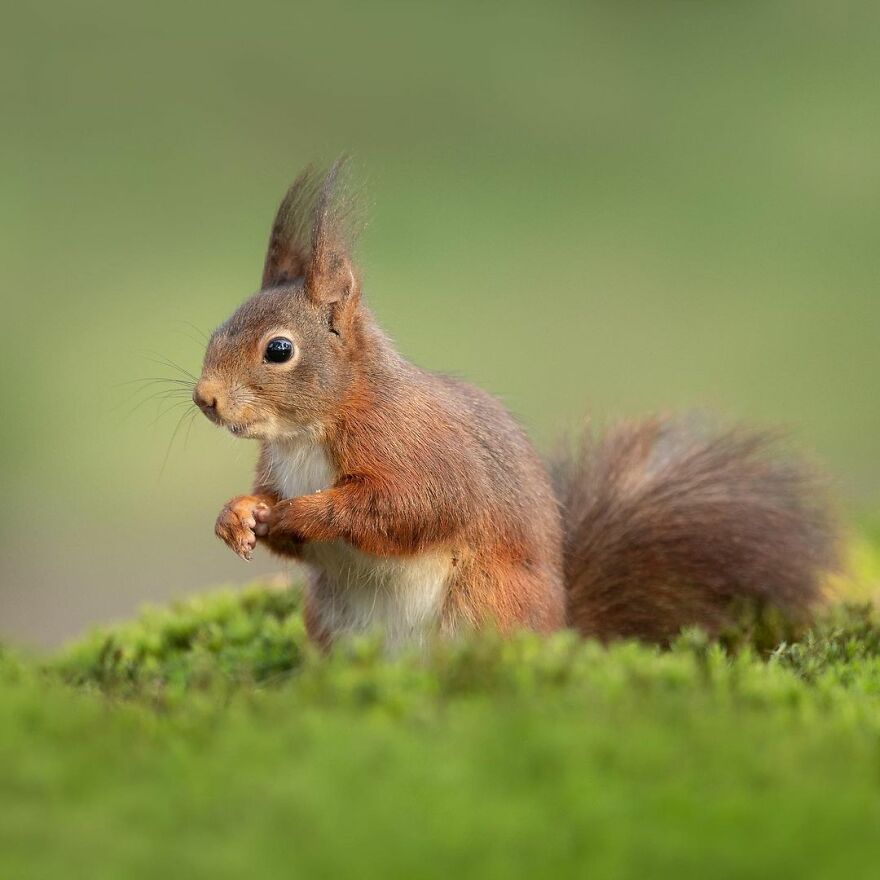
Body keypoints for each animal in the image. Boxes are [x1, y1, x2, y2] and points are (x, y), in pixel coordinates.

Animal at [193, 160, 839, 650]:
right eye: (217, 329)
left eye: (279, 350)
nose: (205, 399)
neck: (307, 430)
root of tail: (558, 632)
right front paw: (238, 515)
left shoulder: (415, 449)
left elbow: (408, 508)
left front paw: (303, 513)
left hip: (485, 604)